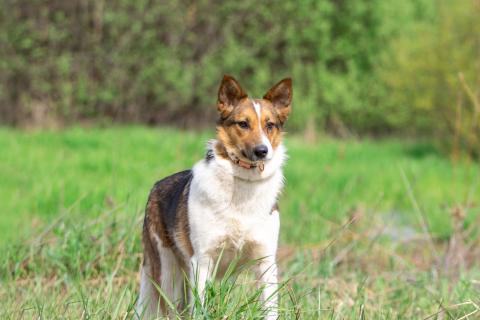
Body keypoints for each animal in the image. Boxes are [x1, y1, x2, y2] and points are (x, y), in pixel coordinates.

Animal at [136, 75, 292, 320]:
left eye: (270, 125)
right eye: (243, 124)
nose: (262, 151)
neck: (243, 183)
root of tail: (156, 186)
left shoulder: (265, 263)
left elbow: (270, 310)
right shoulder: (202, 261)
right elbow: (200, 309)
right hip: (167, 274)